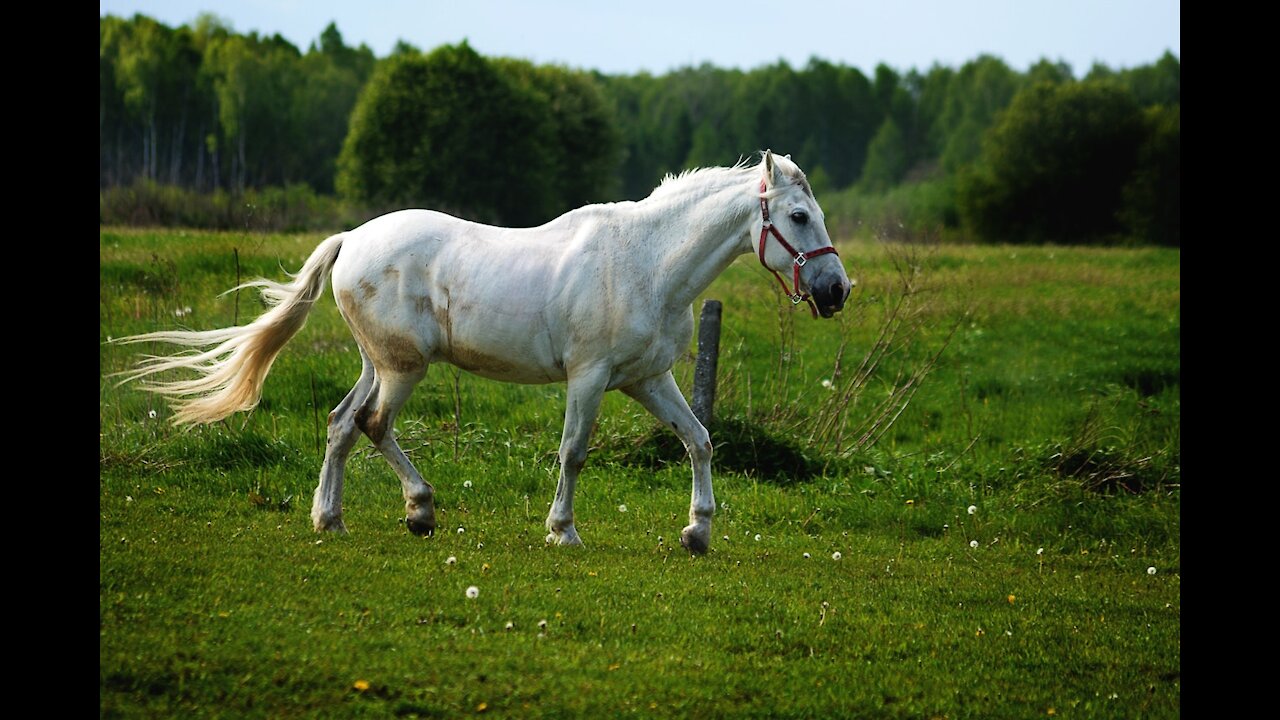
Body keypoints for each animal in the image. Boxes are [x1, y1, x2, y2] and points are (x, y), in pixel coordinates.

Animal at [112, 149, 849, 556]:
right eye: (798, 217)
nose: (836, 290)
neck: (645, 262)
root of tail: (351, 240)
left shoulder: (648, 379)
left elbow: (698, 440)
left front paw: (697, 533)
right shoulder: (589, 378)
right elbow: (573, 453)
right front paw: (562, 531)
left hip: (379, 363)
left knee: (343, 424)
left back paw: (333, 518)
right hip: (403, 368)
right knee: (372, 424)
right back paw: (418, 510)